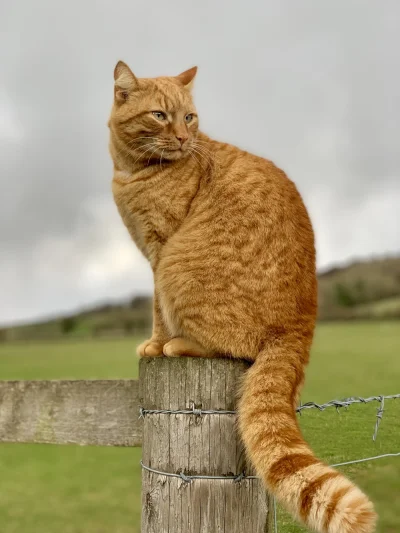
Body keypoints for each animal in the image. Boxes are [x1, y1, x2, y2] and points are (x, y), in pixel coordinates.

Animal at [108, 62, 376, 532]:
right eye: (160, 116)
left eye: (189, 118)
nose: (184, 138)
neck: (135, 170)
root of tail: (301, 321)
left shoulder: (160, 252)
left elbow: (157, 310)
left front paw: (156, 344)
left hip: (179, 264)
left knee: (232, 347)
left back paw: (178, 345)